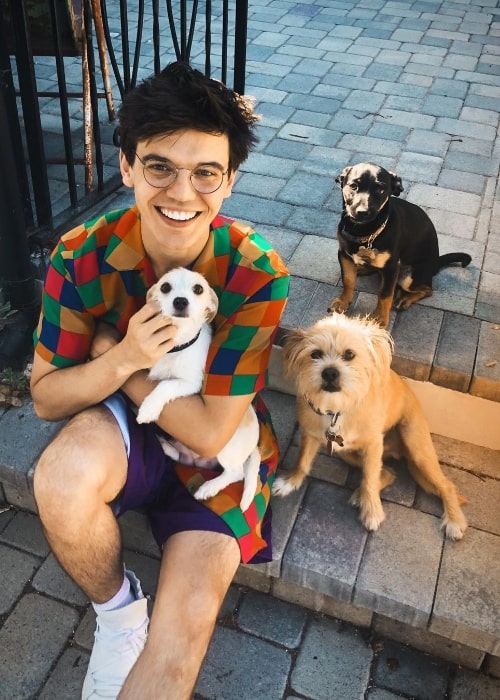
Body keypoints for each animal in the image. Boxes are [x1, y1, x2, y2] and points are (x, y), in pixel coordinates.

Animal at [137, 266, 262, 512]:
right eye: (165, 287)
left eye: (198, 289)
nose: (180, 301)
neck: (176, 346)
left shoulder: (189, 383)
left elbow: (166, 384)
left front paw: (148, 409)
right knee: (182, 457)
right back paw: (166, 446)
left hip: (227, 448)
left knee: (236, 473)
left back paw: (208, 488)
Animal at [272, 314, 466, 540]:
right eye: (315, 354)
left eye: (349, 354)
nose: (330, 373)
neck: (337, 409)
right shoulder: (310, 435)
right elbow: (302, 462)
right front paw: (290, 481)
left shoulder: (373, 445)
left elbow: (370, 478)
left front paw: (372, 511)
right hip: (345, 453)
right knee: (388, 472)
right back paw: (360, 495)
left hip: (418, 449)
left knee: (447, 486)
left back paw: (454, 521)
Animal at [328, 163, 472, 330]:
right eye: (353, 186)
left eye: (380, 189)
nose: (362, 212)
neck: (365, 231)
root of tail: (436, 263)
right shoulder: (344, 254)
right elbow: (348, 280)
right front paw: (343, 302)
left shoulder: (391, 267)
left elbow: (385, 294)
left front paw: (380, 319)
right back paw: (362, 268)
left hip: (408, 277)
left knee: (428, 289)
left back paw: (405, 299)